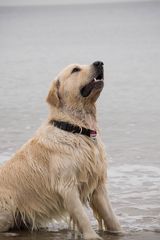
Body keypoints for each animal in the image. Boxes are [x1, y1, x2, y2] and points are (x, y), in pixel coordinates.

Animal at [0, 61, 121, 238]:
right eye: (75, 69)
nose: (99, 62)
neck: (76, 128)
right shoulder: (67, 186)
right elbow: (82, 216)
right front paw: (93, 236)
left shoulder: (97, 184)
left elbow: (111, 217)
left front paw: (119, 232)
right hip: (7, 206)